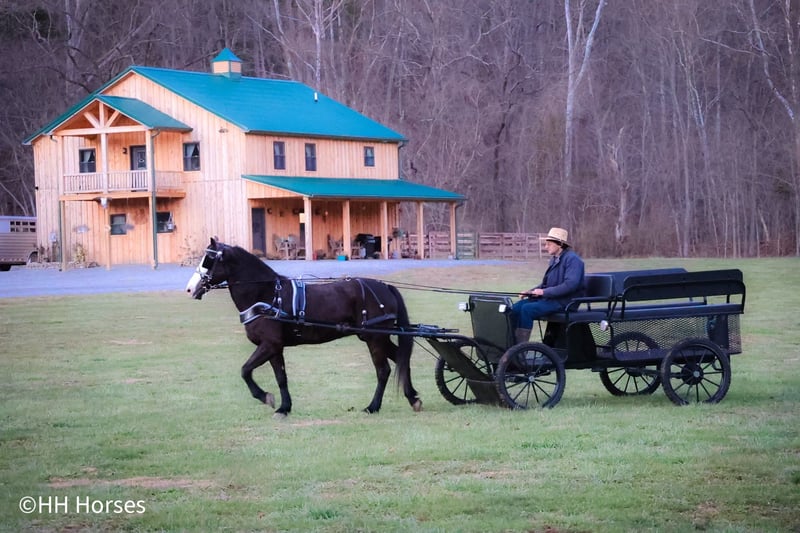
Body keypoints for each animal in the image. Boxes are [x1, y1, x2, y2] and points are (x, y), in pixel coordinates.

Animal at [185, 238, 422, 417]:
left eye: (209, 260)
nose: (189, 289)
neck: (268, 295)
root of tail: (385, 287)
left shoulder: (269, 344)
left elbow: (245, 370)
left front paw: (266, 397)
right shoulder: (275, 348)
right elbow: (281, 378)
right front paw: (284, 407)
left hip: (374, 338)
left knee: (383, 371)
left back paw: (373, 406)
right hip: (376, 337)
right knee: (402, 358)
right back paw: (413, 398)